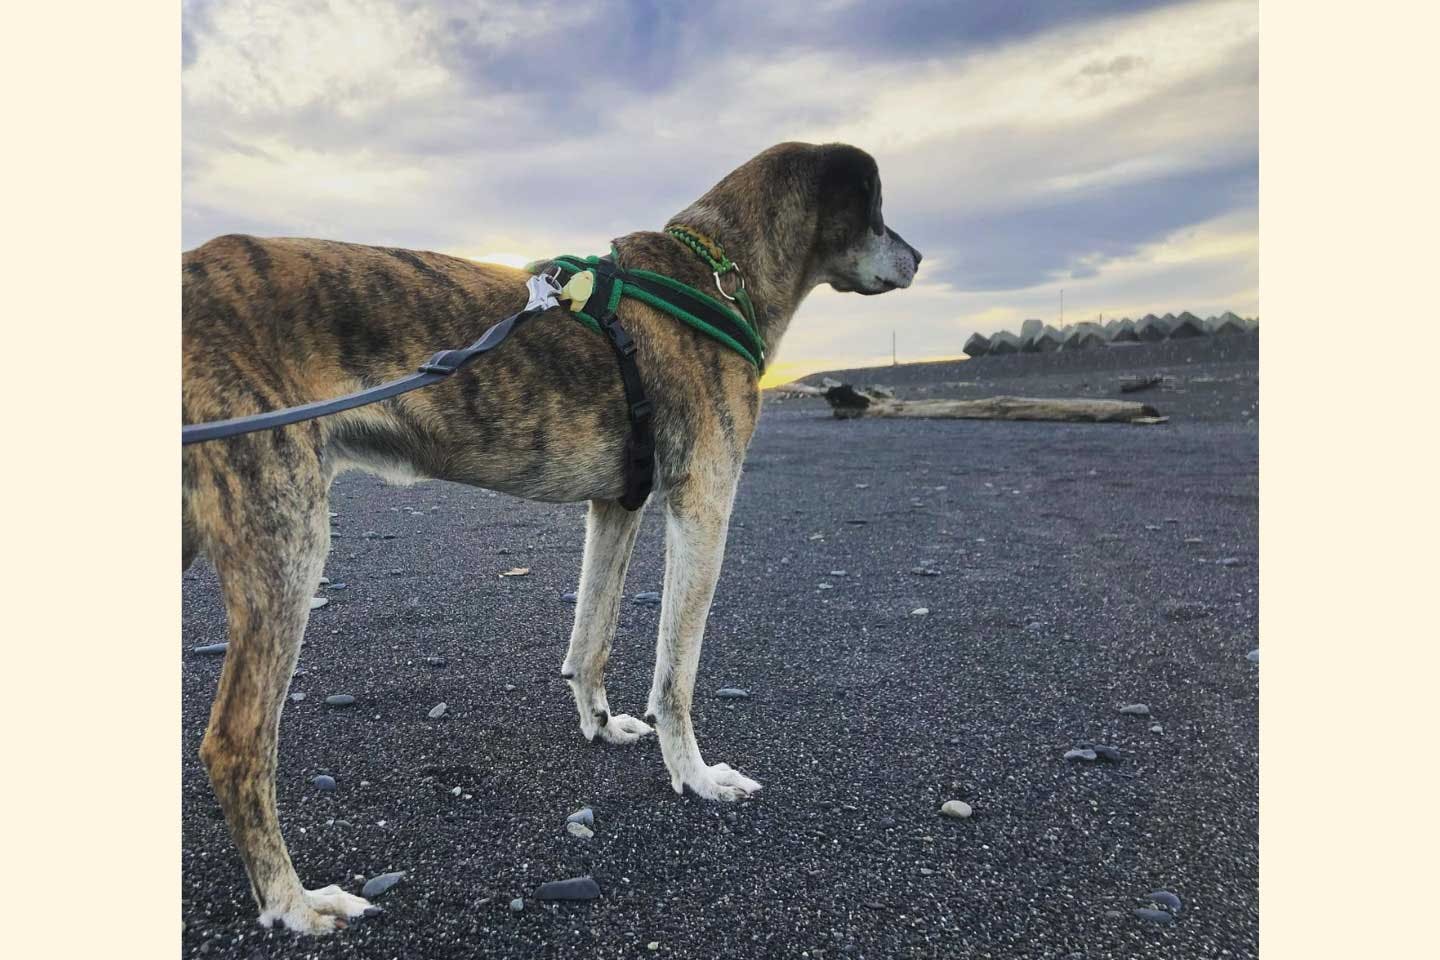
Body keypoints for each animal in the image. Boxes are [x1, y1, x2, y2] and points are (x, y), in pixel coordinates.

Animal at [182, 138, 921, 932]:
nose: (918, 258)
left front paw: (600, 724)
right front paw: (695, 776)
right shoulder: (703, 503)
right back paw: (291, 900)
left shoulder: (617, 504)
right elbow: (677, 675)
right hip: (285, 531)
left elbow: (591, 636)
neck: (717, 274)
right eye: (878, 210)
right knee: (235, 742)